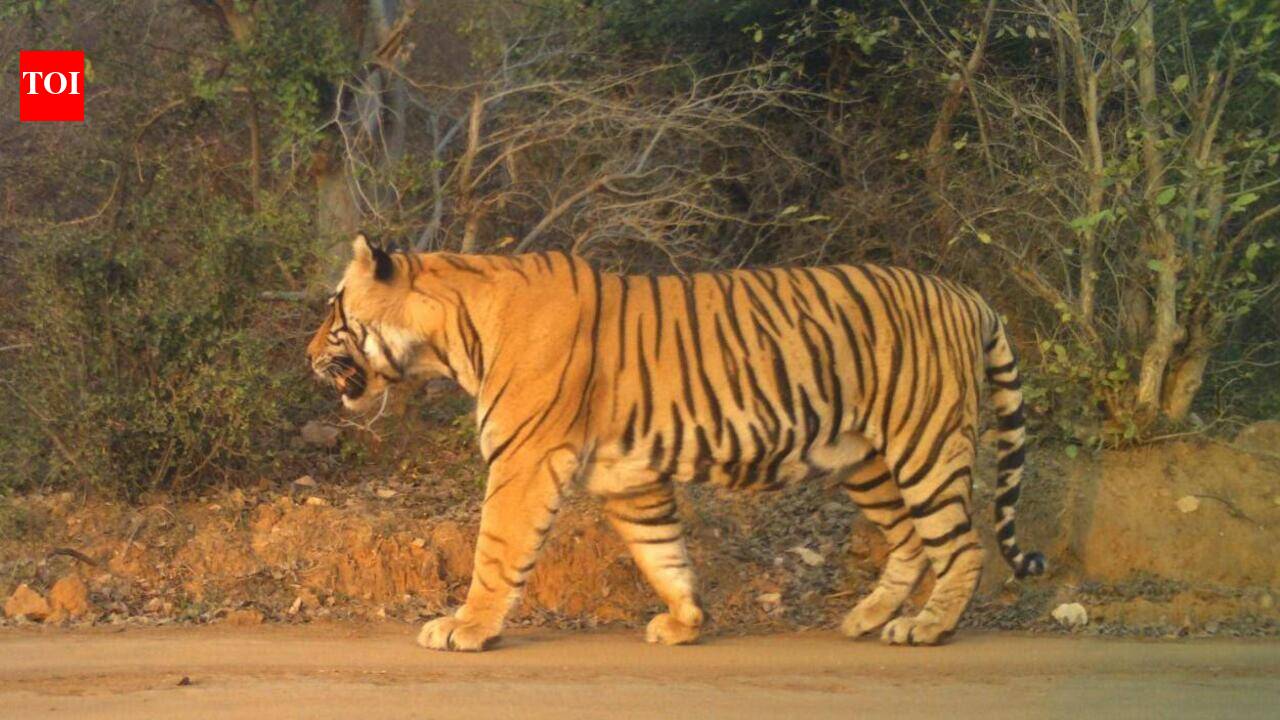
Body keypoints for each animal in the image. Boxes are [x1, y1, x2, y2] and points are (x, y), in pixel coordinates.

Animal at [307, 233, 1045, 651]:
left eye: (334, 307)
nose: (308, 354)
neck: (449, 336)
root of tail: (971, 296)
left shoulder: (524, 459)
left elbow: (496, 549)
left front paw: (466, 627)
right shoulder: (627, 475)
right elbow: (662, 552)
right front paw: (686, 622)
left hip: (925, 445)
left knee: (963, 545)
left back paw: (928, 627)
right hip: (863, 458)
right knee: (913, 540)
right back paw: (868, 617)